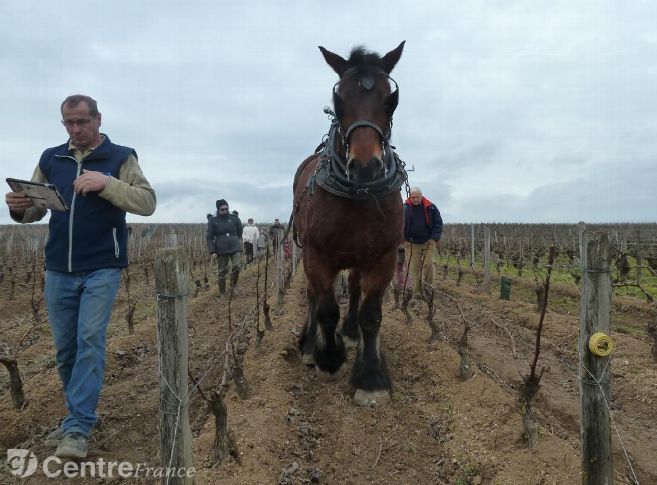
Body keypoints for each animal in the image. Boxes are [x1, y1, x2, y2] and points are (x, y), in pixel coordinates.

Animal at [292, 41, 404, 404]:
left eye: (390, 98)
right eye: (340, 97)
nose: (366, 167)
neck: (360, 193)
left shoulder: (383, 256)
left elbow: (371, 315)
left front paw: (371, 378)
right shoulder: (315, 255)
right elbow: (326, 308)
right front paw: (329, 357)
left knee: (354, 289)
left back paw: (351, 331)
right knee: (314, 296)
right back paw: (310, 344)